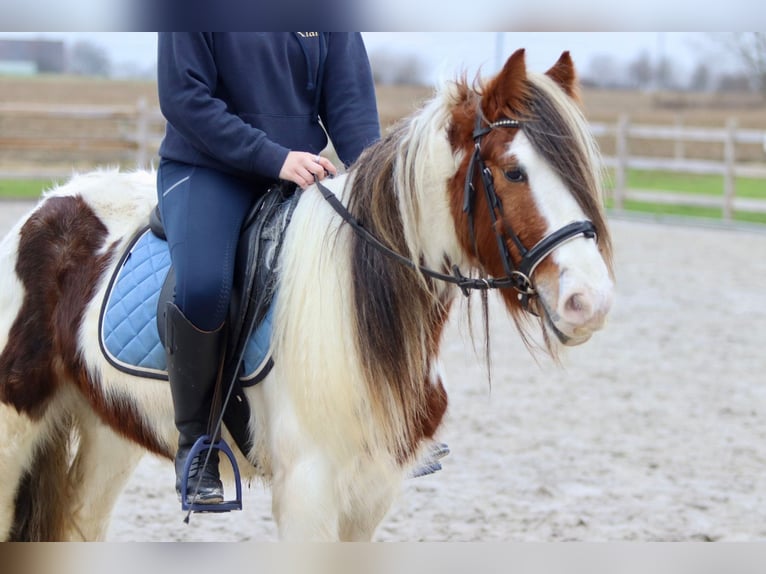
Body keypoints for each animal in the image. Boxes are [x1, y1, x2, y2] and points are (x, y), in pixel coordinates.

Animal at [0, 50, 616, 544]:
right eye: (513, 172)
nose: (590, 301)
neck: (358, 305)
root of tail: (49, 205)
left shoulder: (372, 492)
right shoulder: (308, 490)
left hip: (109, 430)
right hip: (15, 428)